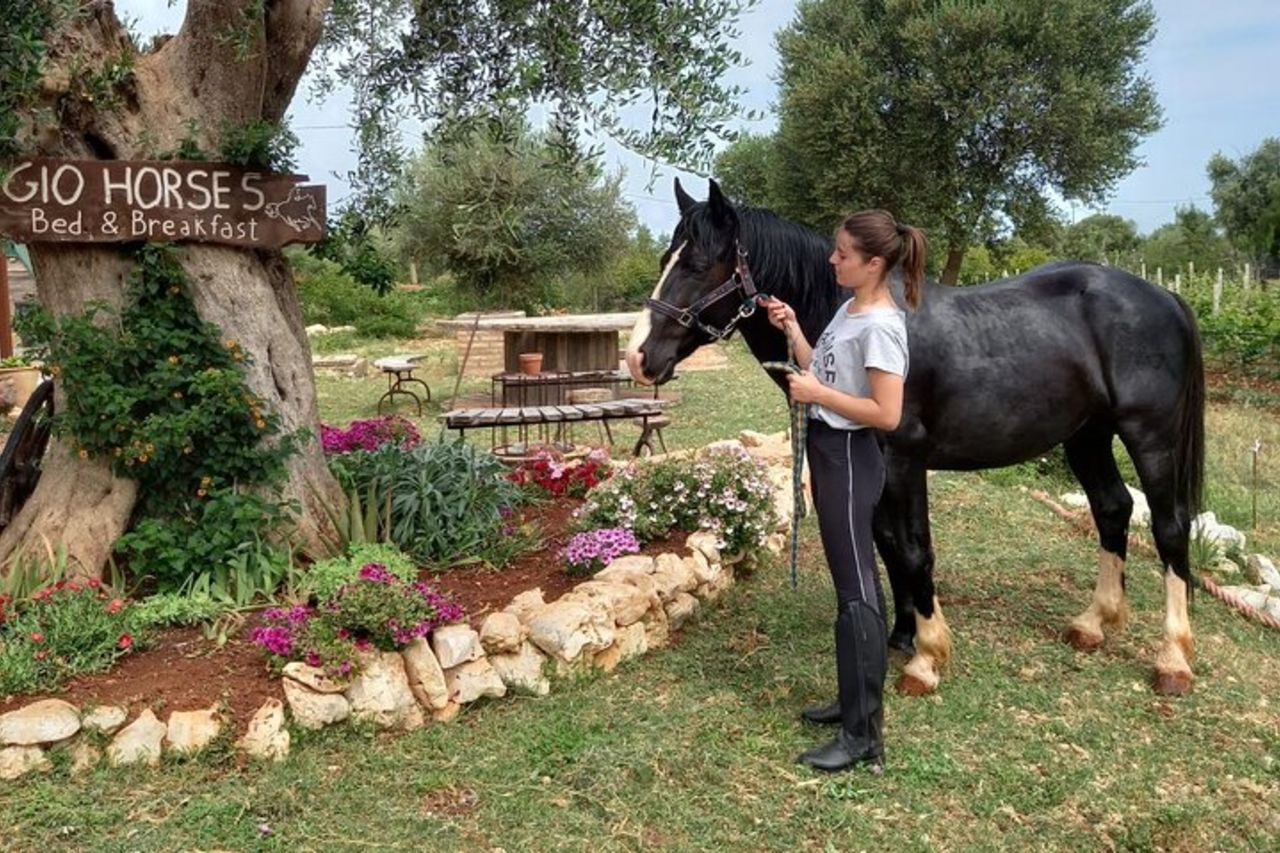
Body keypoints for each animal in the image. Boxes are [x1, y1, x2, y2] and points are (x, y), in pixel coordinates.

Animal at [626, 179, 1205, 697]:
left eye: (698, 265)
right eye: (666, 258)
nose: (639, 356)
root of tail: (1165, 297)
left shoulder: (905, 460)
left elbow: (914, 548)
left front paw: (927, 658)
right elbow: (886, 544)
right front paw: (903, 635)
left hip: (1149, 437)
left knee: (1171, 529)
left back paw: (1174, 658)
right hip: (1087, 437)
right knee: (1112, 509)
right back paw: (1094, 622)